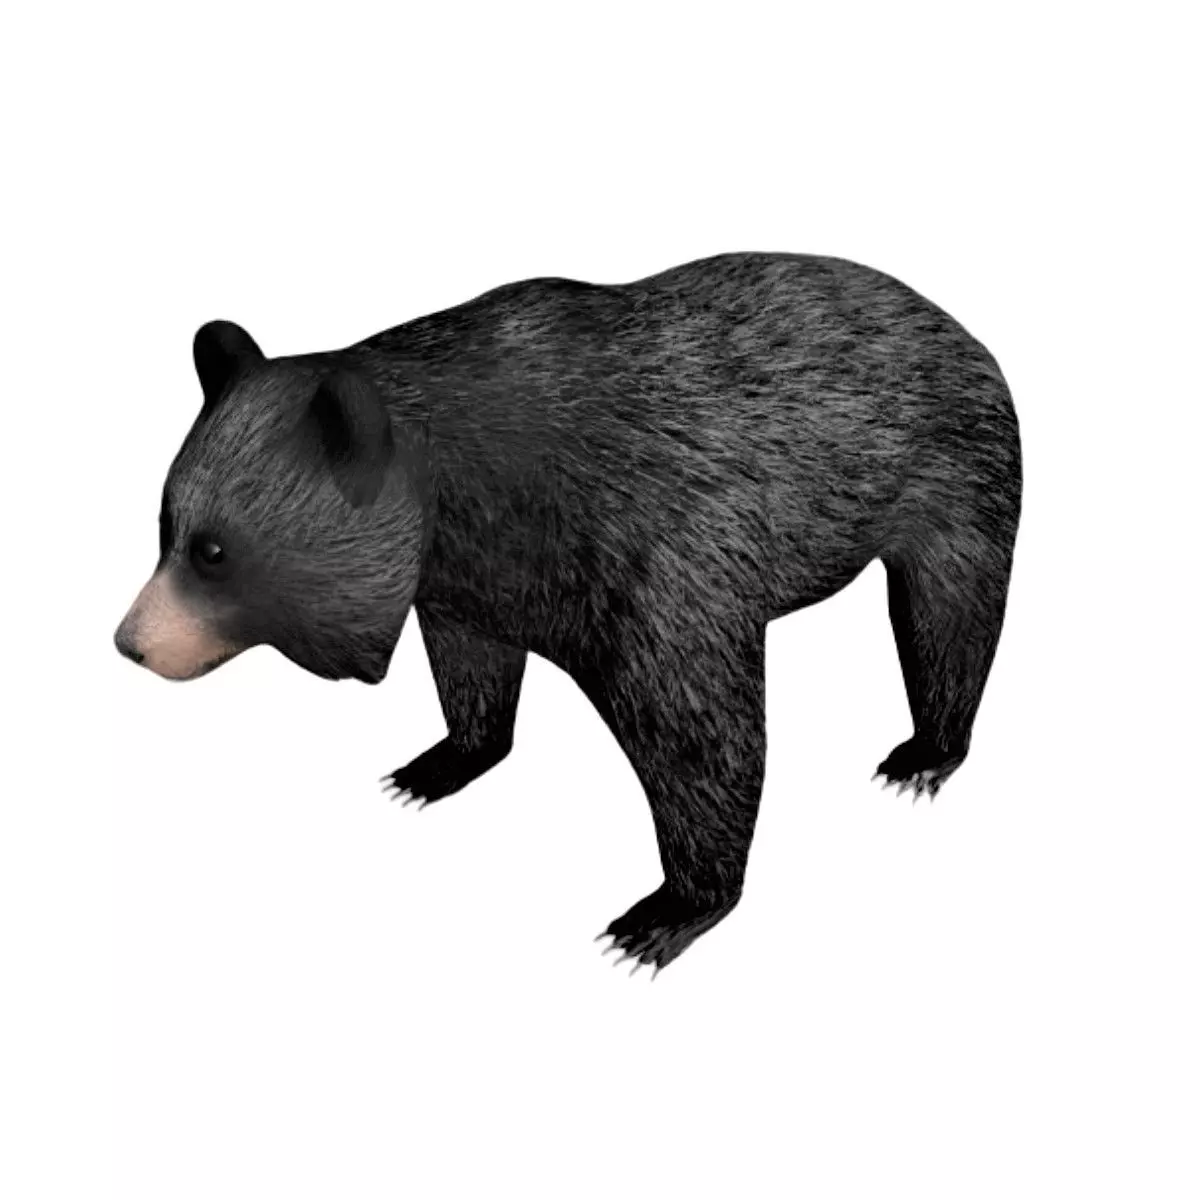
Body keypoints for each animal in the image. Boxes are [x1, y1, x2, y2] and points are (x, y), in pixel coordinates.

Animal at [115, 252, 1022, 975]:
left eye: (214, 551)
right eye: (165, 525)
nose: (131, 643)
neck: (465, 495)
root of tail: (957, 324)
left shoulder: (646, 552)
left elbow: (700, 730)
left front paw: (668, 909)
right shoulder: (472, 579)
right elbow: (472, 665)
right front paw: (439, 762)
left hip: (956, 473)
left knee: (950, 611)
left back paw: (926, 750)